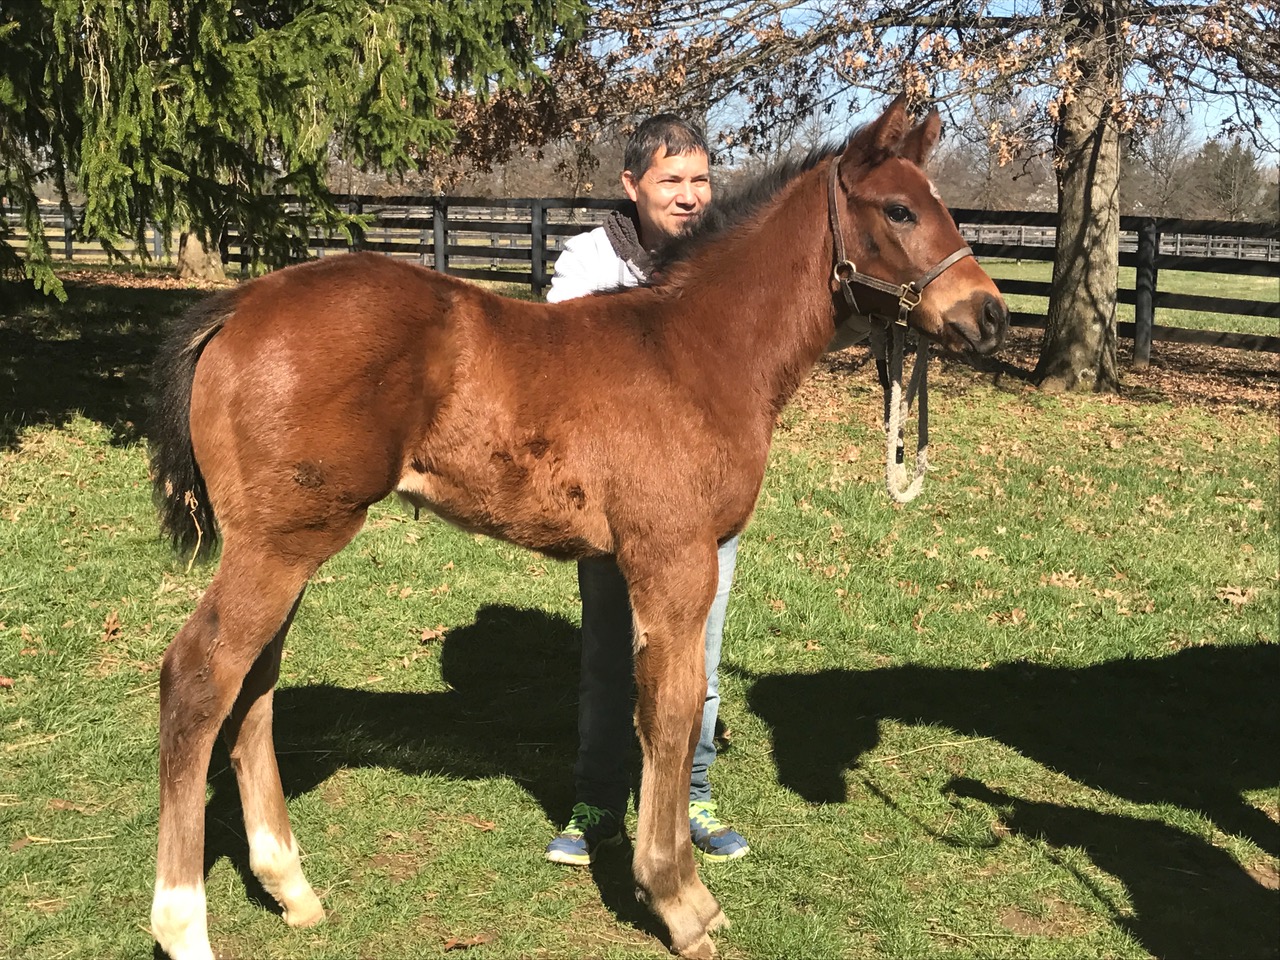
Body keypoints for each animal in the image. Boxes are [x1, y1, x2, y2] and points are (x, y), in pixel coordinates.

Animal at [149, 101, 1003, 957]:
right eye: (899, 210)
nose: (988, 312)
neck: (697, 352)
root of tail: (237, 308)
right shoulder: (674, 560)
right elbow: (669, 712)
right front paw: (678, 898)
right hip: (281, 544)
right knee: (200, 676)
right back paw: (184, 924)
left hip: (294, 544)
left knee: (253, 685)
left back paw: (290, 887)